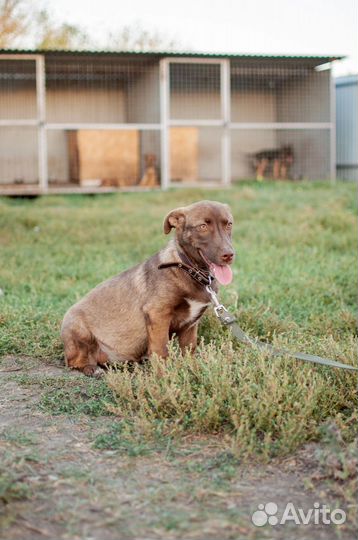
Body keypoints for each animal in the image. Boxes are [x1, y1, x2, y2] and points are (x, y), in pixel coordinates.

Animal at [61, 201, 235, 376]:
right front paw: (163, 376)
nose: (229, 255)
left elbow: (189, 350)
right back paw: (91, 368)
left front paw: (193, 371)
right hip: (78, 330)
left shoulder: (190, 325)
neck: (189, 269)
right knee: (73, 361)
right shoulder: (157, 313)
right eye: (202, 226)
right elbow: (161, 350)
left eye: (229, 224)